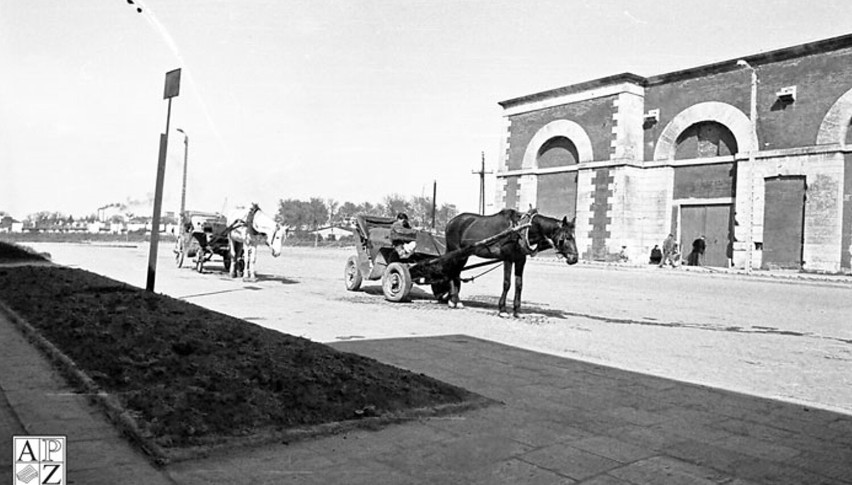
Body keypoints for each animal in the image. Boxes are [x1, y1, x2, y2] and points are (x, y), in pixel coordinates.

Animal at [446, 208, 580, 318]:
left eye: (574, 237)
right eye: (566, 238)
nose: (574, 258)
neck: (520, 230)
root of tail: (451, 221)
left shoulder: (520, 260)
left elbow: (519, 285)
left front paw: (517, 311)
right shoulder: (508, 258)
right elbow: (507, 283)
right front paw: (503, 310)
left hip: (463, 255)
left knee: (455, 273)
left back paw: (454, 300)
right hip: (456, 252)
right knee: (453, 272)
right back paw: (455, 301)